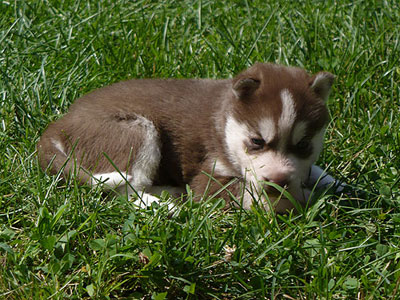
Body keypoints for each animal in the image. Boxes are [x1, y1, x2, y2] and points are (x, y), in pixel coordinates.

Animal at [37, 62, 340, 212]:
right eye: (257, 142)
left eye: (303, 144)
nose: (278, 180)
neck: (224, 124)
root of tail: (57, 125)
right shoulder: (209, 174)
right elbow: (254, 196)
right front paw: (304, 196)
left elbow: (313, 172)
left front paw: (330, 181)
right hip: (136, 131)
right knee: (126, 190)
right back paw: (161, 206)